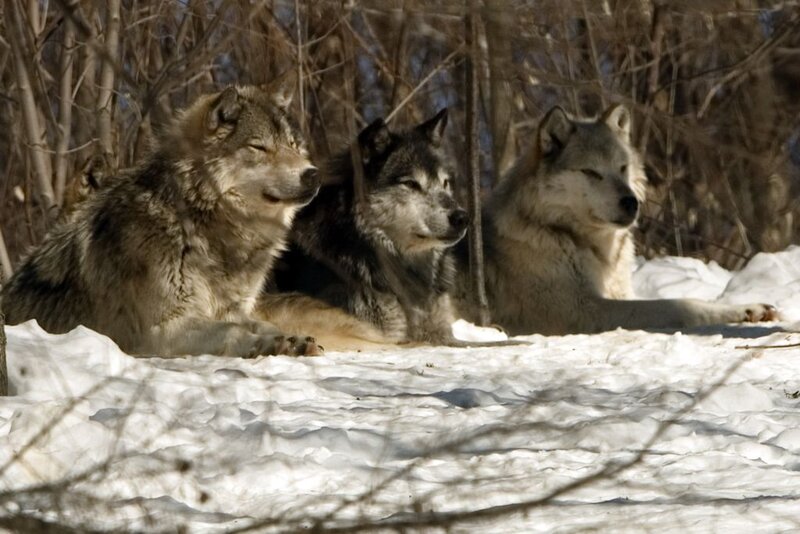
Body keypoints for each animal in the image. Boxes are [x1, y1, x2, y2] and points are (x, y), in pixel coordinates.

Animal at [1, 84, 322, 357]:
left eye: (293, 145)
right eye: (259, 147)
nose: (313, 174)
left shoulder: (232, 310)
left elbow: (262, 324)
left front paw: (291, 338)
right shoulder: (162, 329)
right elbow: (232, 332)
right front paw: (272, 344)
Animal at [456, 104, 778, 335]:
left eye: (622, 168)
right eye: (591, 172)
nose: (631, 202)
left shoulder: (618, 295)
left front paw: (749, 310)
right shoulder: (582, 311)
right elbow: (678, 305)